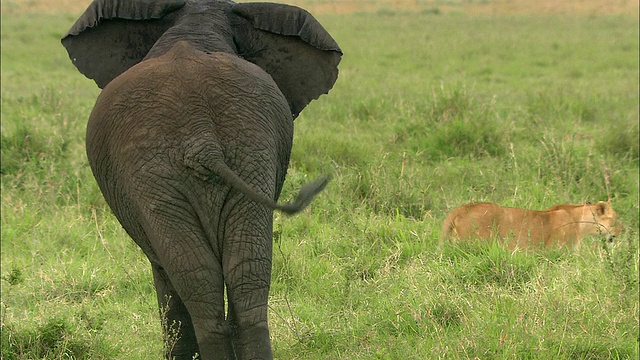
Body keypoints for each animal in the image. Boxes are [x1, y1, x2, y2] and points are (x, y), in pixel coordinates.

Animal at [60, 1, 342, 358]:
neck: (198, 21)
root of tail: (201, 134)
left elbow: (164, 273)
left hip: (155, 177)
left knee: (195, 276)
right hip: (250, 154)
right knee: (247, 269)